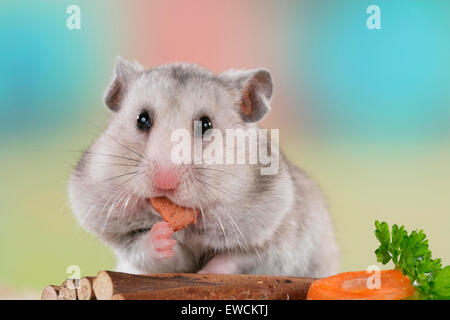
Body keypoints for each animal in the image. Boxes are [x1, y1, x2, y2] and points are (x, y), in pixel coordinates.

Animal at [68, 57, 340, 278]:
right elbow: (148, 252)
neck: (192, 227)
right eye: (142, 120)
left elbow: (234, 258)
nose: (164, 182)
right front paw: (162, 235)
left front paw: (205, 272)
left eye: (206, 124)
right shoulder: (127, 243)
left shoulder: (276, 236)